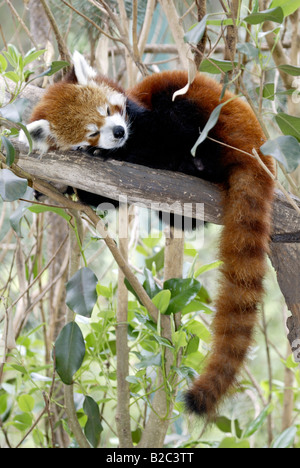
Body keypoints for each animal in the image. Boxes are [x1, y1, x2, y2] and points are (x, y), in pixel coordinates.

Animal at [19, 52, 276, 420]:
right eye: (91, 132)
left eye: (109, 110)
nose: (117, 132)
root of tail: (257, 143)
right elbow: (99, 194)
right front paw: (57, 185)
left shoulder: (144, 119)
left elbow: (153, 139)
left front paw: (113, 155)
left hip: (212, 115)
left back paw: (192, 162)